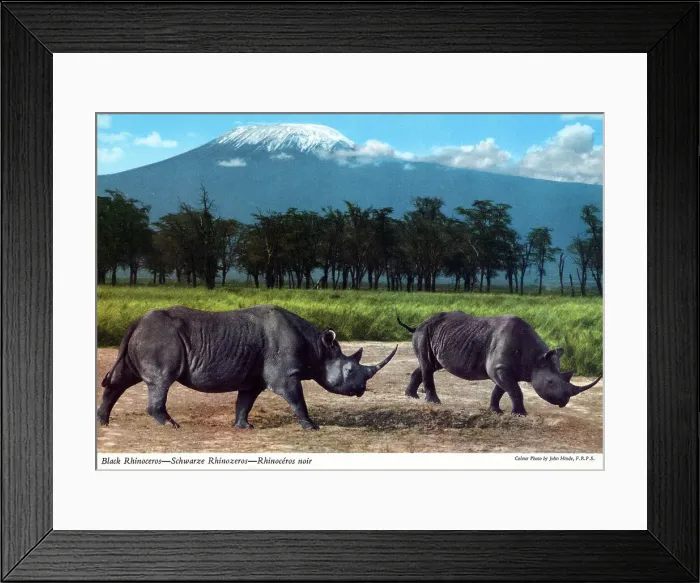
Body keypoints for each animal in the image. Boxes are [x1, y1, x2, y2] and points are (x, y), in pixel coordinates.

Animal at [97, 304, 397, 430]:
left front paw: (243, 427)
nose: (361, 389)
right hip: (160, 338)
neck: (319, 347)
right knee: (161, 380)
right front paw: (312, 427)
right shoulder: (284, 375)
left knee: (123, 378)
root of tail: (136, 321)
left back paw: (102, 422)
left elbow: (245, 401)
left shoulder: (254, 378)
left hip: (148, 337)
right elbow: (297, 399)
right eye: (349, 371)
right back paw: (172, 426)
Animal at [397, 311, 601, 416]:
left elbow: (501, 390)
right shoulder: (499, 367)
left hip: (436, 334)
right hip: (425, 332)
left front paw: (496, 411)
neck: (536, 358)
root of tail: (419, 324)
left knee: (429, 365)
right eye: (551, 382)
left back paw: (411, 397)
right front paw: (520, 414)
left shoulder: (505, 369)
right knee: (427, 365)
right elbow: (515, 391)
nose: (564, 401)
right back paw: (434, 402)